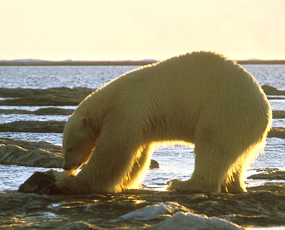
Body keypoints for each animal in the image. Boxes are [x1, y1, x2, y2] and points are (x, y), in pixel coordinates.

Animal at [58, 51, 270, 194]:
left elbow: (114, 152)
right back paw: (233, 186)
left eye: (69, 147)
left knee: (213, 145)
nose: (66, 167)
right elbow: (138, 157)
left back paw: (182, 184)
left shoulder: (126, 109)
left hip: (226, 110)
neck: (108, 101)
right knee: (236, 157)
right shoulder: (140, 120)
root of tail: (264, 109)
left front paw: (71, 183)